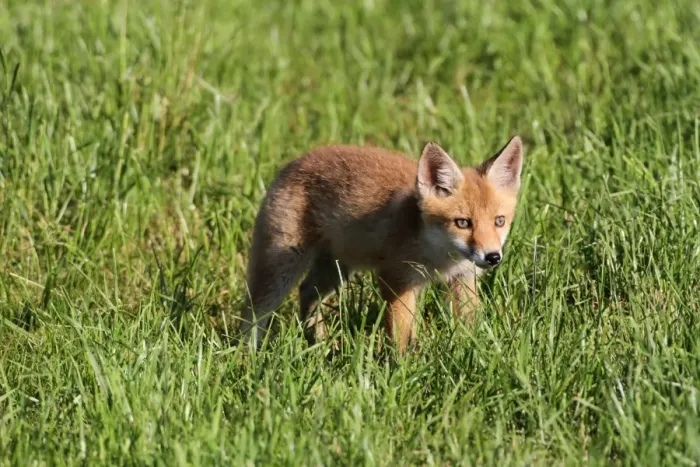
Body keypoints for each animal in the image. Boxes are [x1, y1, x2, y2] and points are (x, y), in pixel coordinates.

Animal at [239, 136, 524, 353]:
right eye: (463, 223)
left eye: (499, 221)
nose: (493, 257)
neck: (440, 257)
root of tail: (299, 159)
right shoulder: (396, 279)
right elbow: (400, 334)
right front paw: (401, 368)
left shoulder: (463, 279)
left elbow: (468, 323)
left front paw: (470, 351)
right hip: (281, 266)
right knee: (253, 312)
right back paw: (247, 356)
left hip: (337, 268)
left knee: (308, 291)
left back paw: (317, 343)